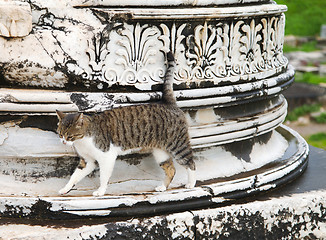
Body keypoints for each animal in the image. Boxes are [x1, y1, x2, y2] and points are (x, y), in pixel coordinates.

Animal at [56, 51, 196, 196]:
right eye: (60, 134)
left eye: (70, 136)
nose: (63, 142)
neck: (83, 140)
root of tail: (169, 103)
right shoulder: (87, 161)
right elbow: (75, 176)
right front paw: (65, 189)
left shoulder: (107, 157)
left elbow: (104, 177)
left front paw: (100, 191)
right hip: (160, 152)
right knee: (171, 169)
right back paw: (162, 187)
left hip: (177, 145)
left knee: (190, 162)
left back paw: (191, 184)